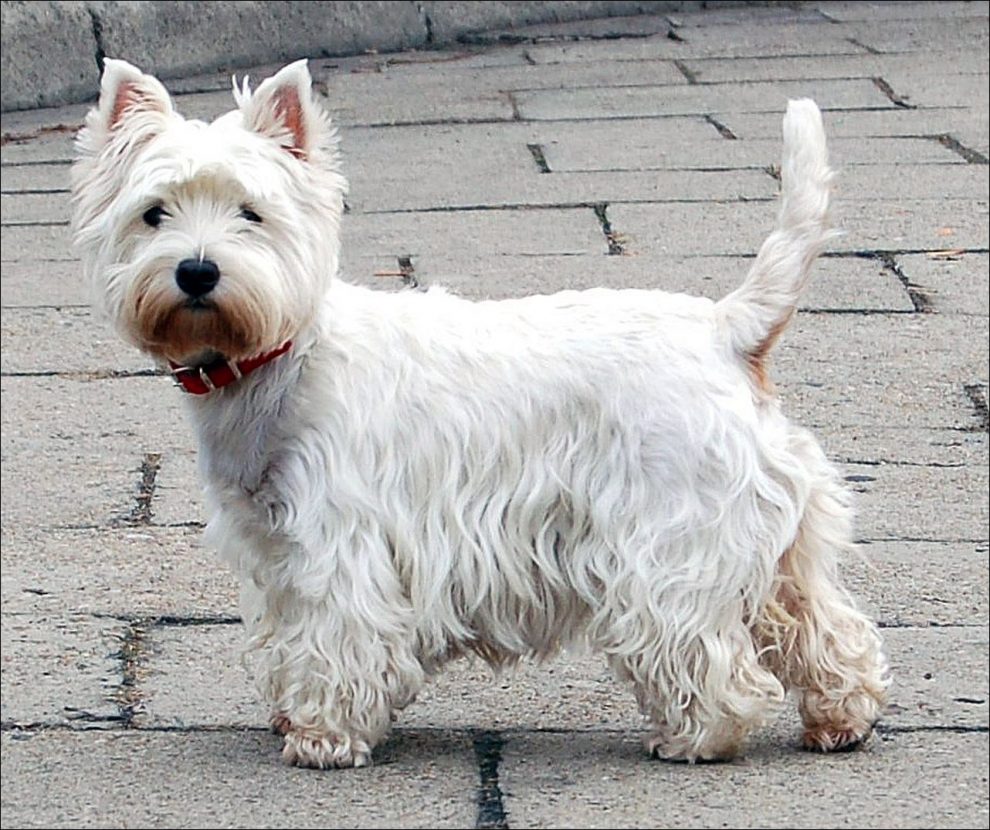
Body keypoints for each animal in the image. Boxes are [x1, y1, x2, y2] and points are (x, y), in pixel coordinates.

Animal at [71, 58, 892, 772]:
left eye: (252, 214)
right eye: (152, 214)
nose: (197, 271)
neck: (275, 357)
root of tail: (726, 328)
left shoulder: (341, 540)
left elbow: (339, 637)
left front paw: (324, 737)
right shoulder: (272, 546)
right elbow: (286, 634)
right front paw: (290, 714)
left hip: (672, 534)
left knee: (705, 650)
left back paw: (693, 738)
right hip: (781, 534)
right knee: (825, 626)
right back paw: (841, 721)